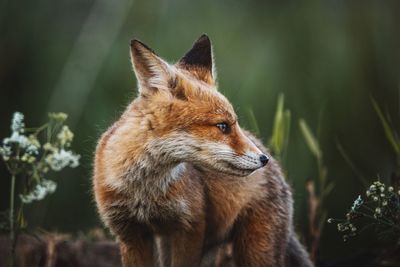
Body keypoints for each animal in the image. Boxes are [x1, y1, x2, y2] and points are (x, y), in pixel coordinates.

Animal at [93, 34, 312, 267]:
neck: (144, 190)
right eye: (223, 126)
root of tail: (280, 174)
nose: (264, 158)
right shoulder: (130, 233)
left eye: (234, 124)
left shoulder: (191, 227)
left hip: (254, 252)